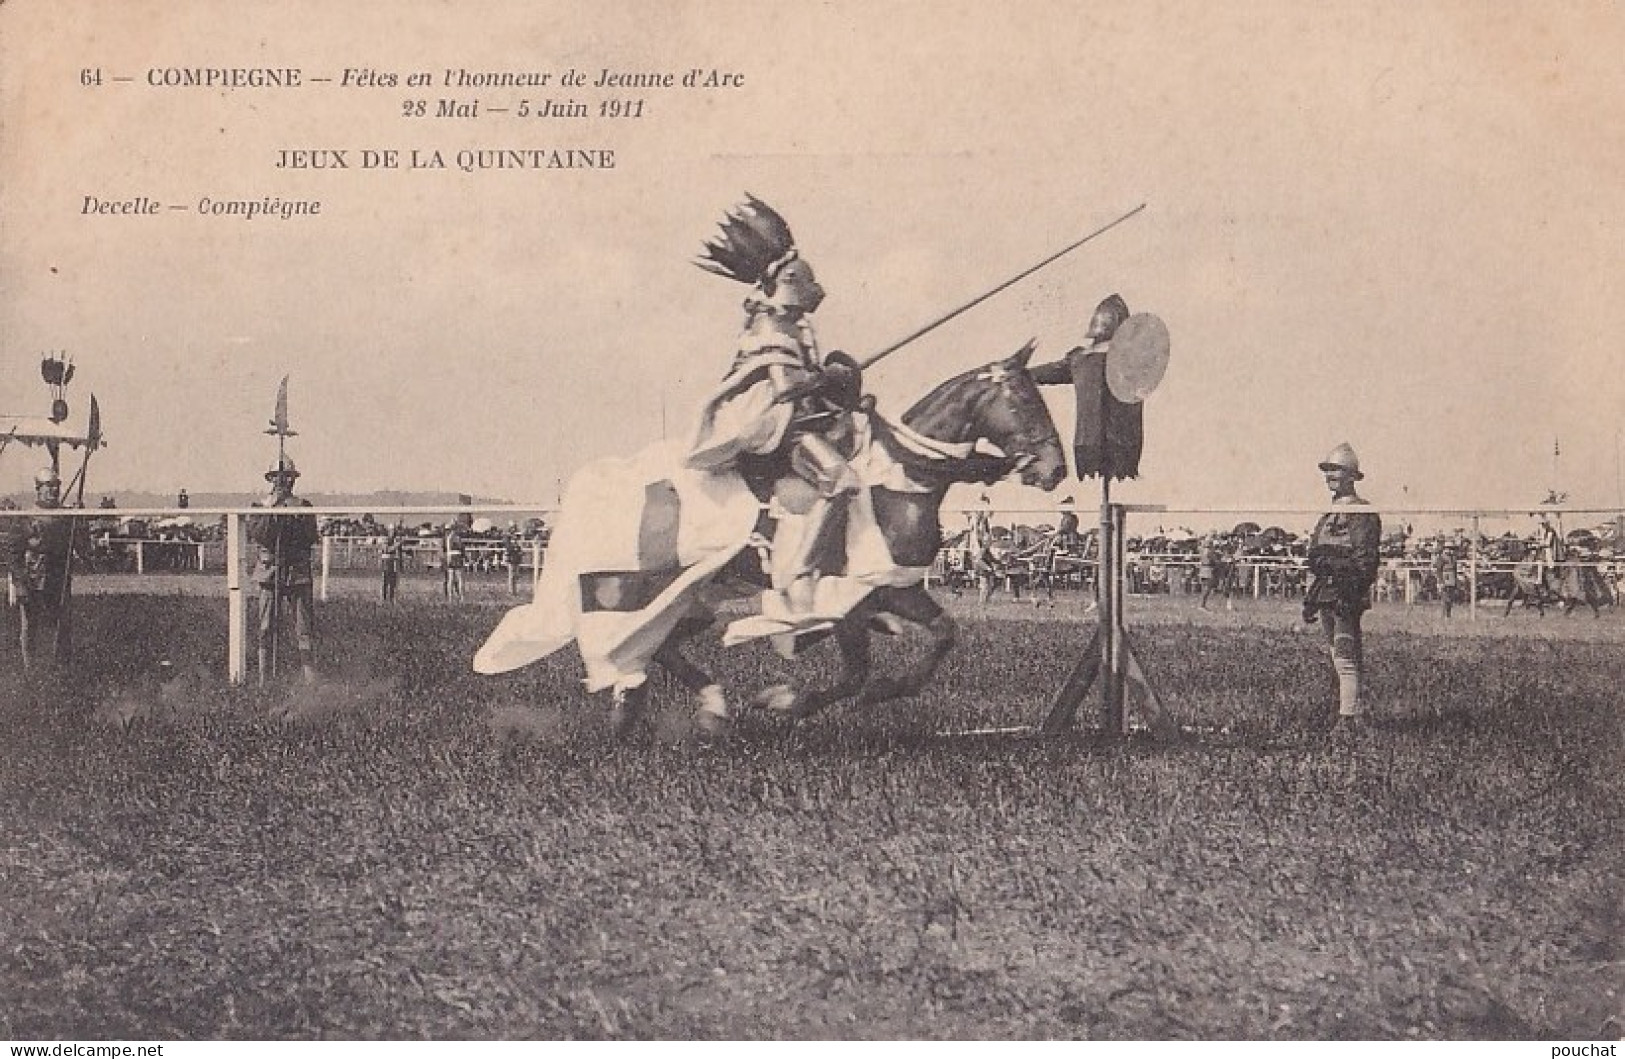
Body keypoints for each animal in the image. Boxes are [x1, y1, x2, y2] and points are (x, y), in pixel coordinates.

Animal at [474, 342, 1072, 730]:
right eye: (1026, 401)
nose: (1054, 469)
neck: (899, 480)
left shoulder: (885, 592)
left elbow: (934, 639)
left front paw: (864, 692)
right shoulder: (860, 596)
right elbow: (865, 669)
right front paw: (788, 701)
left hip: (685, 594)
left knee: (660, 643)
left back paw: (691, 707)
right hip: (630, 586)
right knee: (632, 643)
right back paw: (659, 706)